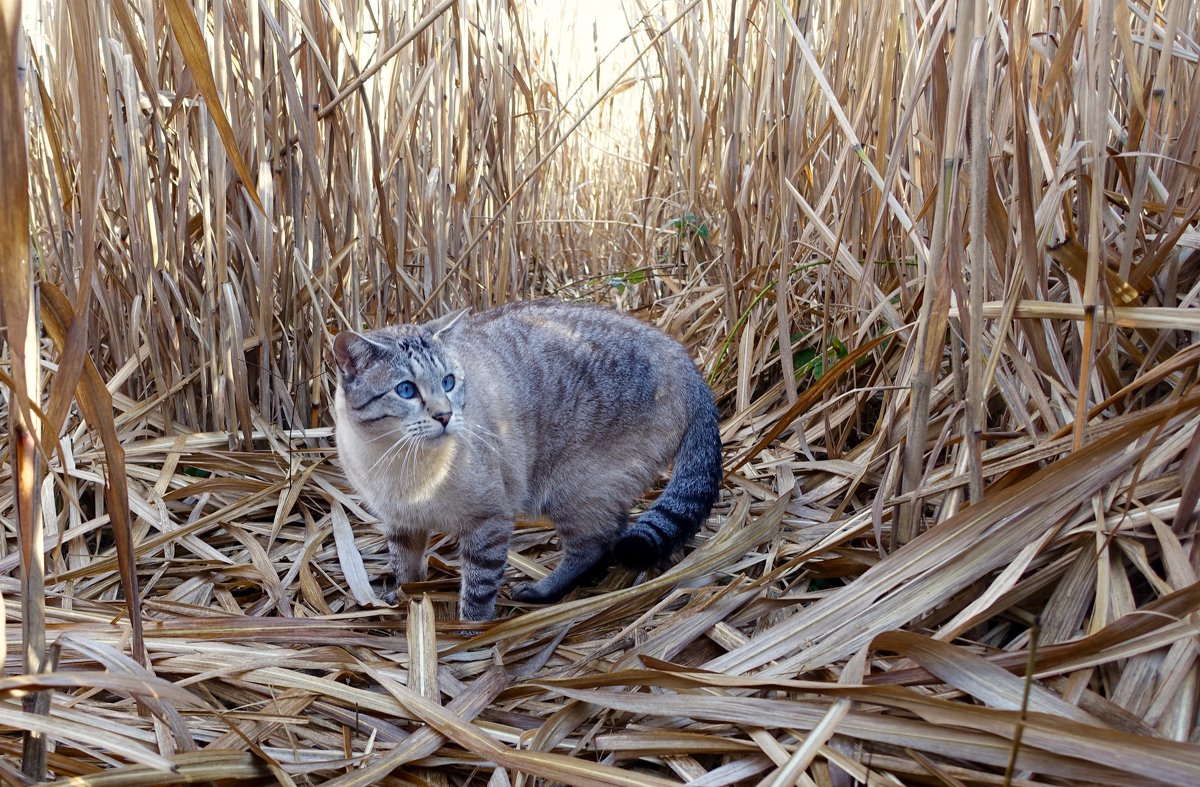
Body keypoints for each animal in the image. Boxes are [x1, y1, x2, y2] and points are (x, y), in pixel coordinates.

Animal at [331, 299, 720, 619]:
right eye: (406, 390)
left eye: (448, 382)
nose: (445, 416)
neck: (400, 463)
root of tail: (681, 355)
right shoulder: (401, 523)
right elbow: (405, 571)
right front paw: (402, 601)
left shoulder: (490, 521)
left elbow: (478, 589)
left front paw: (468, 636)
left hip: (572, 488)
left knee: (596, 542)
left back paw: (541, 590)